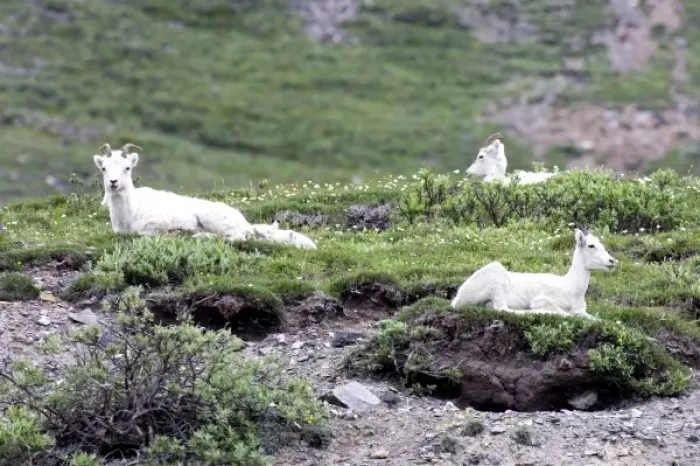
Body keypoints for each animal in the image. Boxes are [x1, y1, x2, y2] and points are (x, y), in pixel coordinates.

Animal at [94, 142, 253, 240]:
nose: (113, 182)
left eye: (127, 168)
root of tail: (245, 223)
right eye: (104, 169)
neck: (130, 213)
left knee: (236, 237)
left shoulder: (155, 225)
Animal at [450, 228, 617, 320]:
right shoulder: (541, 300)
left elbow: (597, 320)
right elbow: (564, 313)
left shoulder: (582, 311)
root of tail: (458, 297)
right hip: (497, 281)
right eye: (591, 245)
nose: (612, 261)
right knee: (502, 308)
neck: (572, 288)